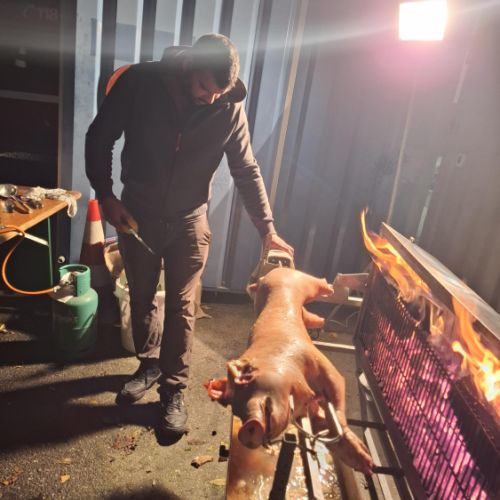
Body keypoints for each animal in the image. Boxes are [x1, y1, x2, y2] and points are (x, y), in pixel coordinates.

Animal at [205, 267, 374, 475]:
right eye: (233, 405)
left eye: (247, 378)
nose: (247, 428)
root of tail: (275, 271)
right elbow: (321, 423)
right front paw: (367, 464)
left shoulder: (319, 361)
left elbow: (337, 391)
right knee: (310, 316)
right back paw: (320, 319)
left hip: (302, 281)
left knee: (318, 284)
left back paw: (329, 288)